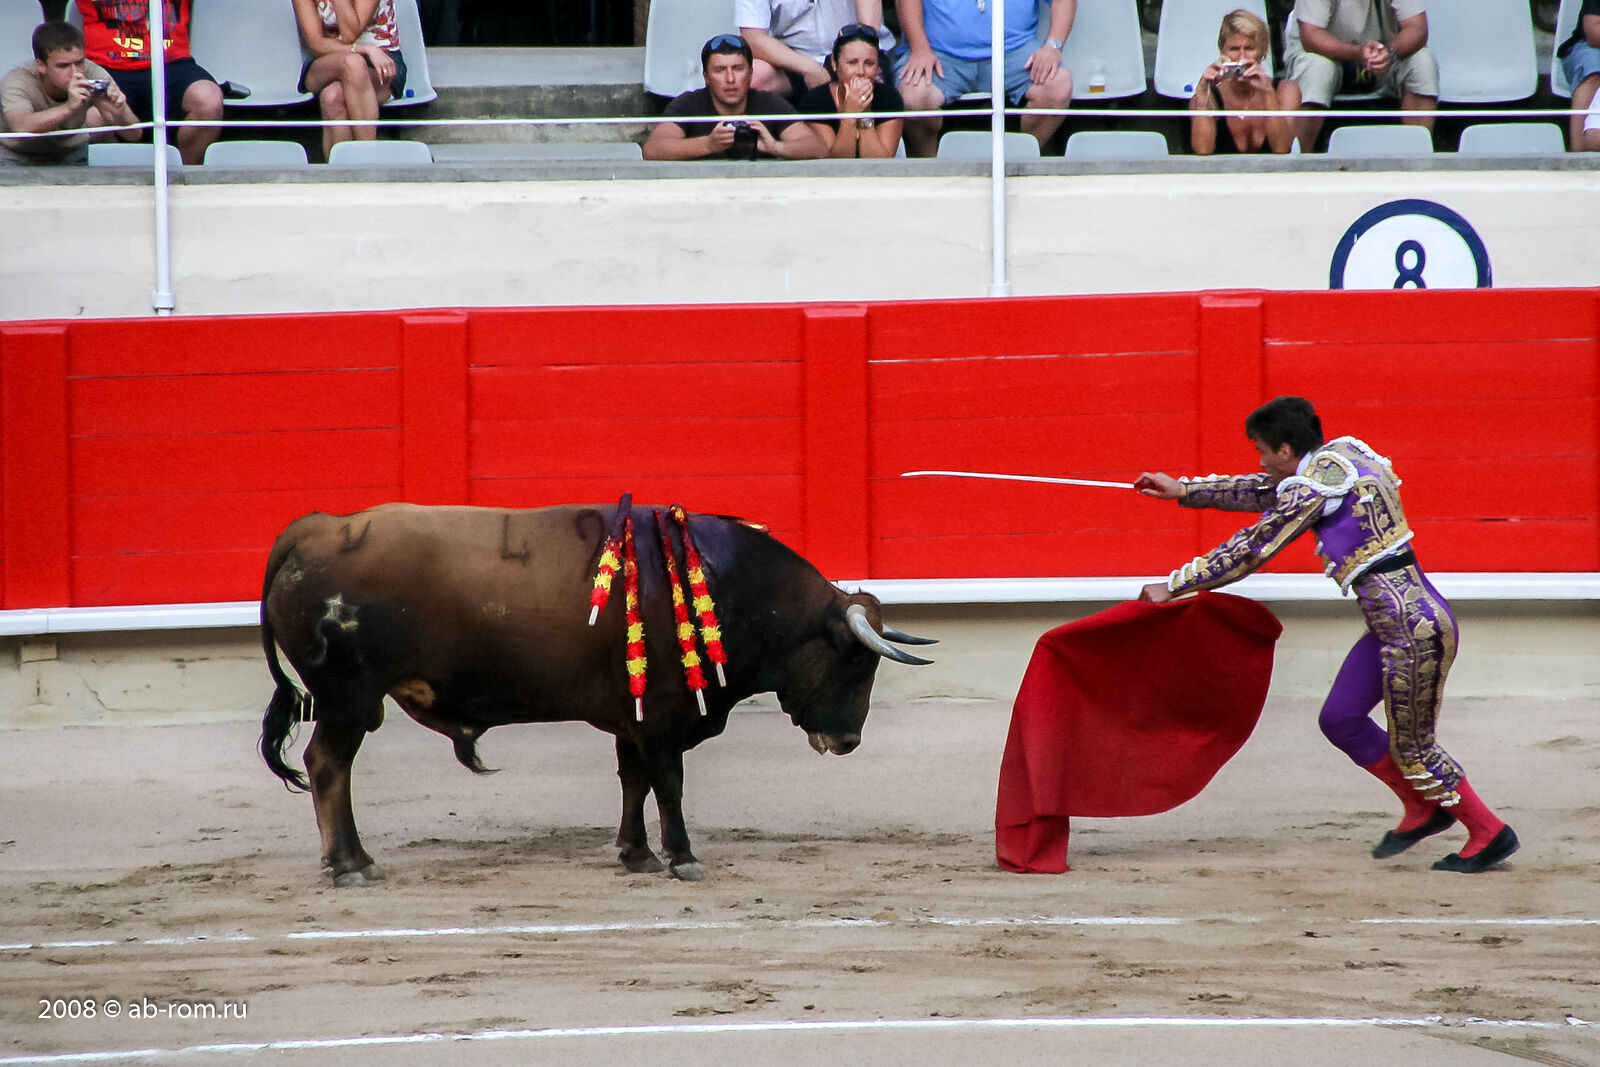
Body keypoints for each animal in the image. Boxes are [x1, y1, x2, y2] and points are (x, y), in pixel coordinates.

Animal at [258, 502, 935, 885]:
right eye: (857, 663)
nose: (847, 740)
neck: (727, 587)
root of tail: (314, 529)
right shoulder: (661, 719)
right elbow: (669, 784)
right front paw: (683, 858)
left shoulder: (630, 719)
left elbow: (633, 780)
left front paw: (637, 855)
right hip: (347, 700)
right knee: (329, 766)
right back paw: (352, 865)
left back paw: (349, 862)